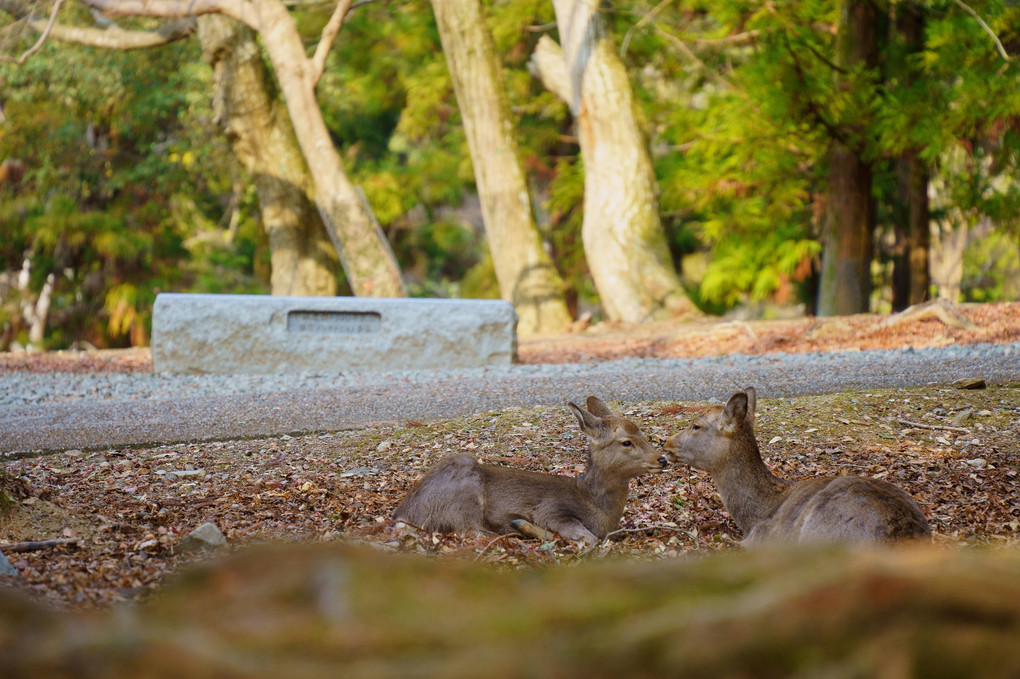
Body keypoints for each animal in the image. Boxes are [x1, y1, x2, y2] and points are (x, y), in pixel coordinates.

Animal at [391, 393, 669, 542]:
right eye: (626, 442)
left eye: (642, 432)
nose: (662, 459)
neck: (598, 510)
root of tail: (402, 515)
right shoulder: (552, 509)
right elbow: (588, 538)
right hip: (464, 494)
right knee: (473, 532)